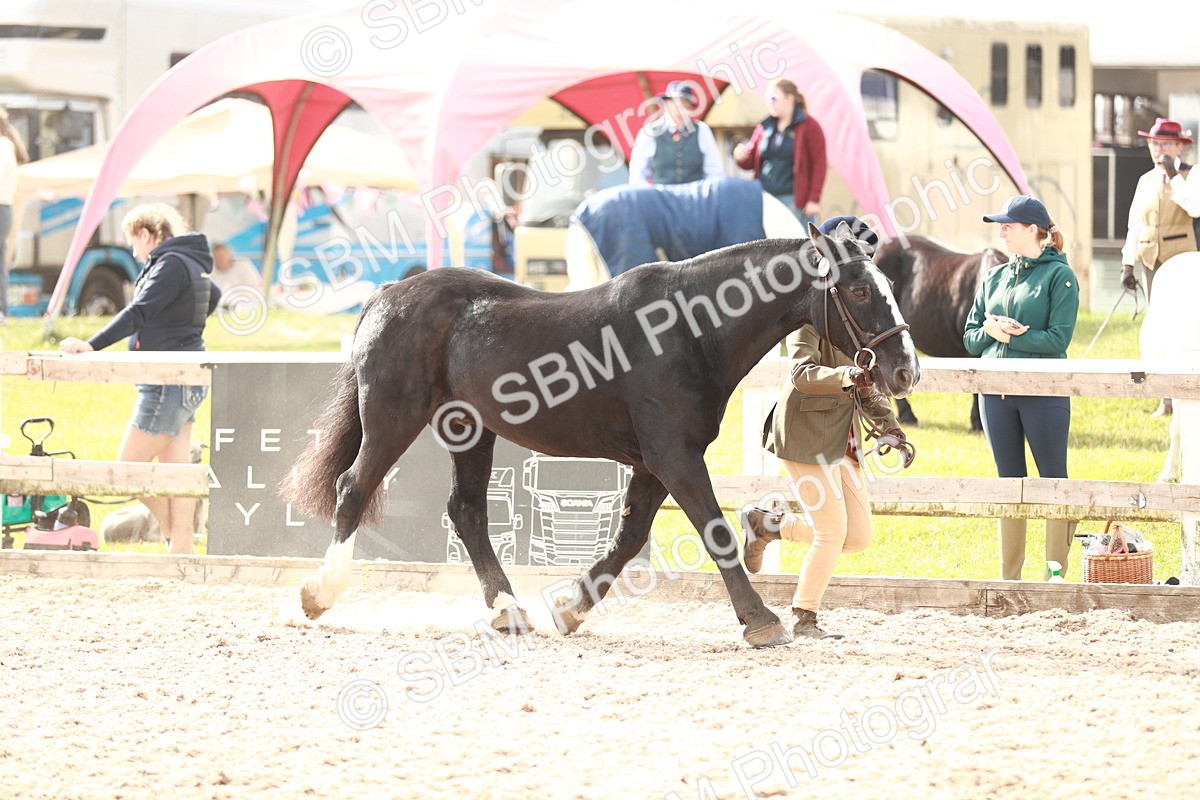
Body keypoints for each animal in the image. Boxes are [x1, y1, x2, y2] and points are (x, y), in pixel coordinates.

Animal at [280, 222, 920, 648]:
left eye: (888, 283)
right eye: (857, 289)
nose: (905, 370)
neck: (688, 329)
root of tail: (386, 294)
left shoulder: (656, 461)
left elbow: (630, 537)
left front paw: (570, 607)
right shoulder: (673, 455)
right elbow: (714, 532)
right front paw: (761, 620)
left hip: (469, 429)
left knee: (466, 511)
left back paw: (509, 611)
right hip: (394, 417)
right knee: (353, 489)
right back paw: (317, 594)